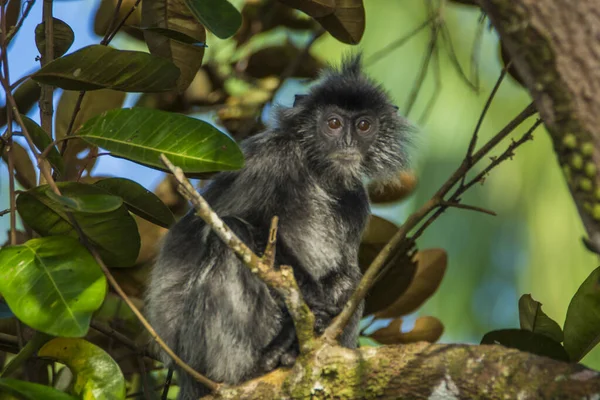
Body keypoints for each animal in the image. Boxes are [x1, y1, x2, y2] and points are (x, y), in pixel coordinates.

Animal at [145, 54, 412, 398]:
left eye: (364, 125)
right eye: (333, 124)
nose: (348, 143)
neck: (317, 172)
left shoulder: (356, 199)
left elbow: (347, 272)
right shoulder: (271, 158)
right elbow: (227, 224)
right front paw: (315, 305)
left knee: (350, 278)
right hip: (198, 354)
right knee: (233, 236)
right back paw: (266, 358)